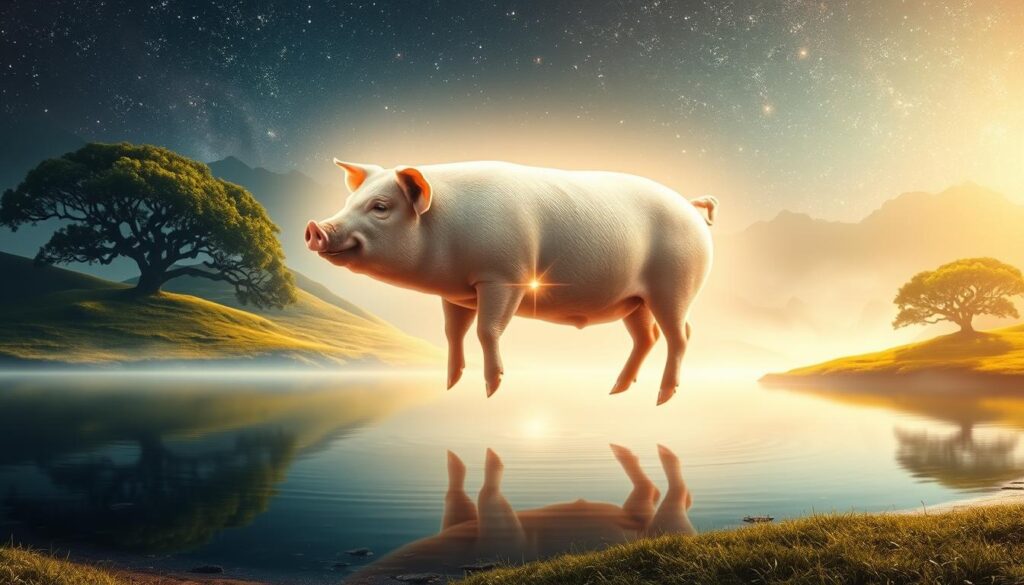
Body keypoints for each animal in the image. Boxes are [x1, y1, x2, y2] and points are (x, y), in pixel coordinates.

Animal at [305, 160, 716, 405]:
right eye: (349, 201)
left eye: (380, 207)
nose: (315, 228)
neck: (446, 229)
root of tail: (692, 207)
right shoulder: (456, 293)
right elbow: (453, 332)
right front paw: (451, 384)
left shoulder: (504, 277)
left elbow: (487, 330)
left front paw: (492, 390)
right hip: (634, 300)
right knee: (648, 337)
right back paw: (616, 391)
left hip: (675, 286)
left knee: (681, 335)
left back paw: (662, 397)